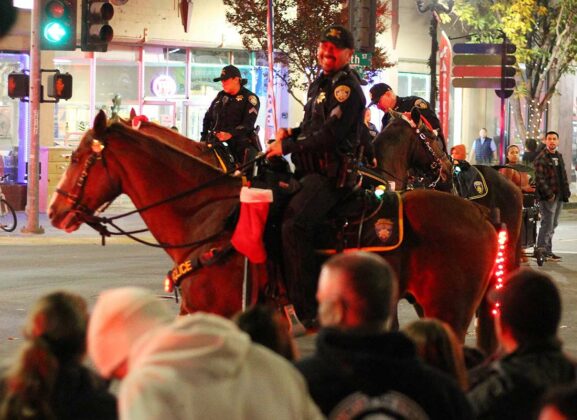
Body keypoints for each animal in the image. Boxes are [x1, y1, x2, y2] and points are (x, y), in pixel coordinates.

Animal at [48, 110, 500, 352]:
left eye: (79, 158)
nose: (55, 210)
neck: (208, 214)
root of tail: (480, 214)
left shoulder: (220, 313)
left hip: (448, 310)